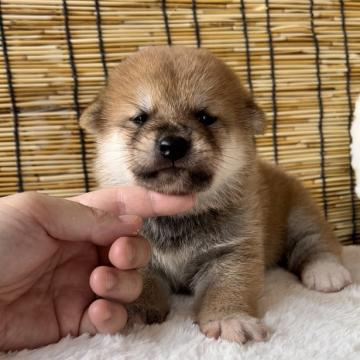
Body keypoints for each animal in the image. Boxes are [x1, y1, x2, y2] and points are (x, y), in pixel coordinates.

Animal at [81, 46, 352, 344]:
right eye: (140, 118)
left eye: (205, 117)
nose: (172, 144)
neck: (180, 217)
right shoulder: (138, 255)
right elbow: (141, 286)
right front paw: (133, 313)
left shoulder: (232, 252)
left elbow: (227, 288)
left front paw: (228, 319)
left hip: (299, 214)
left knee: (315, 241)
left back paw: (326, 271)